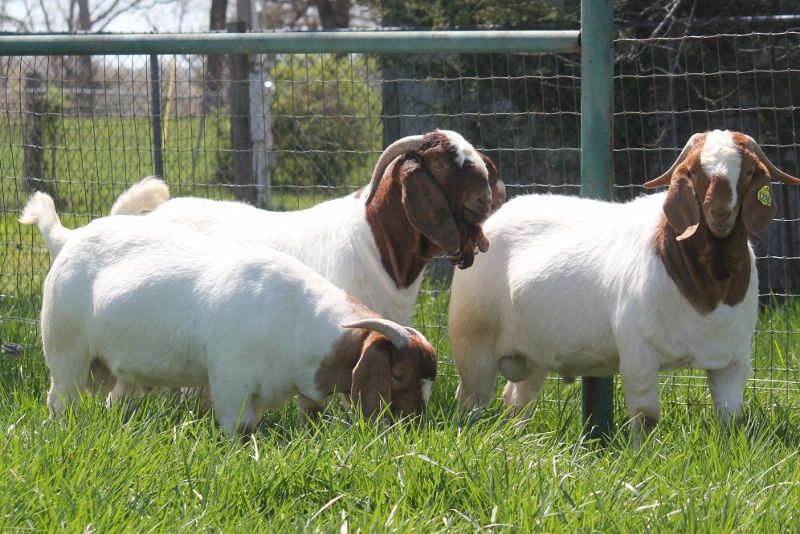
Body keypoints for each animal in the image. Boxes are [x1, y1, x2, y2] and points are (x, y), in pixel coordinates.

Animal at [446, 131, 800, 448]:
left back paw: (519, 438)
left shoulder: (732, 361)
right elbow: (646, 417)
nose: (720, 212)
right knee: (471, 398)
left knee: (518, 398)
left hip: (532, 352)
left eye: (749, 171)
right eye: (695, 171)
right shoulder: (638, 355)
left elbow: (732, 420)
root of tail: (493, 219)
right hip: (472, 341)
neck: (708, 292)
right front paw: (644, 458)